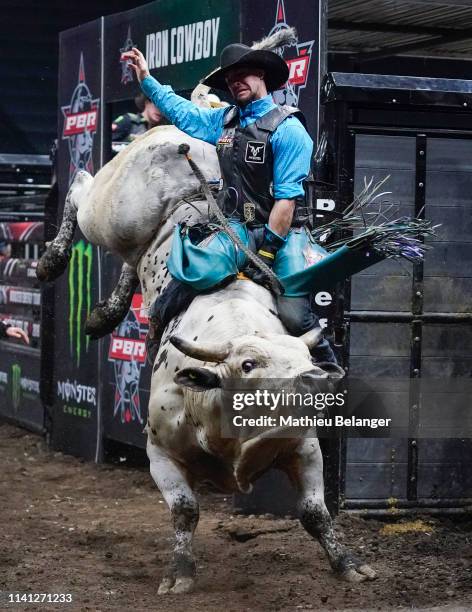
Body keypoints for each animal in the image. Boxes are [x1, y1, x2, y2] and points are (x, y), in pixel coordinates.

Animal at [37, 37, 376, 592]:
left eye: (303, 360)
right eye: (248, 365)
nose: (314, 381)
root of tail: (192, 129)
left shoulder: (304, 447)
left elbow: (314, 513)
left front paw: (348, 564)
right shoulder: (159, 452)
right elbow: (185, 511)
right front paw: (179, 575)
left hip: (136, 237)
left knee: (133, 264)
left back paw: (103, 315)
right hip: (109, 209)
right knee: (79, 186)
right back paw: (51, 260)